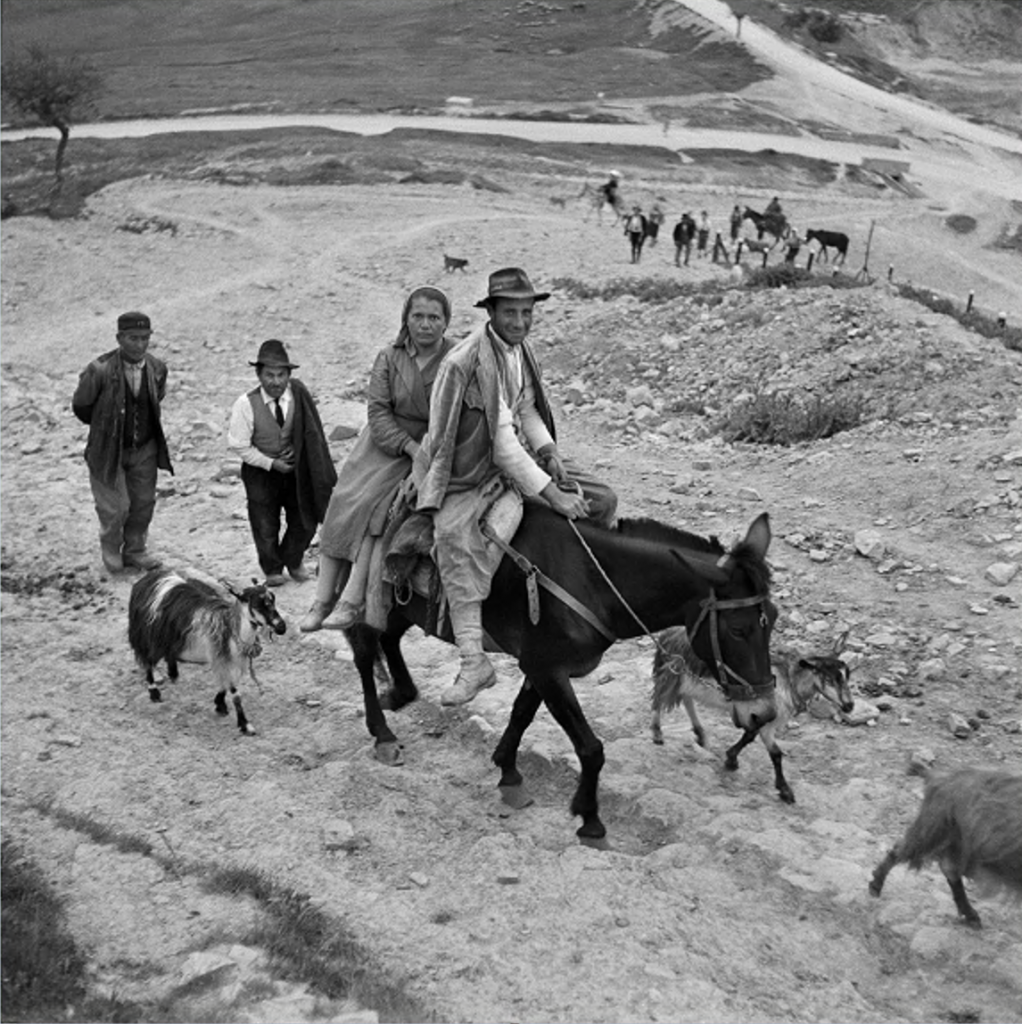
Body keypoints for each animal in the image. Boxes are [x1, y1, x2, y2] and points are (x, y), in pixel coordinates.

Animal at [130, 573, 288, 733]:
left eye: (273, 600)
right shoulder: (223, 658)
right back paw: (154, 692)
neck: (232, 629)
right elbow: (235, 693)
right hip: (149, 636)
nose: (282, 628)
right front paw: (245, 724)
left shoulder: (227, 660)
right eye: (257, 605)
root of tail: (148, 579)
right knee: (148, 661)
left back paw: (173, 673)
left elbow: (225, 685)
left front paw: (220, 704)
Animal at [647, 626, 856, 802]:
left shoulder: (763, 719)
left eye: (846, 676)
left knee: (686, 699)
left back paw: (701, 735)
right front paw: (732, 760)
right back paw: (657, 733)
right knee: (659, 698)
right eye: (831, 678)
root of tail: (667, 634)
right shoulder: (762, 715)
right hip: (671, 673)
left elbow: (772, 751)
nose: (849, 706)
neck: (789, 680)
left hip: (686, 680)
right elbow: (757, 740)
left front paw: (783, 789)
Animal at [872, 761, 1022, 929]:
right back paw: (875, 887)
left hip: (957, 841)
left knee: (949, 868)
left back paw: (971, 916)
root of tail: (936, 777)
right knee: (902, 850)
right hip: (935, 829)